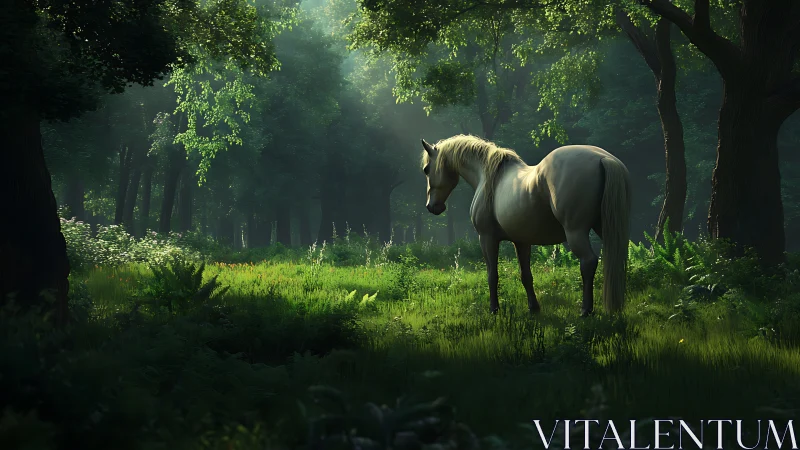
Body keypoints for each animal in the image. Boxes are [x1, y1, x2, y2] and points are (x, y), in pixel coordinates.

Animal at [420, 135, 631, 316]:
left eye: (426, 169)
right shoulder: (522, 241)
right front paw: (534, 307)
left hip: (576, 232)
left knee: (588, 262)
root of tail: (603, 158)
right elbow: (526, 275)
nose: (432, 206)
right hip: (606, 229)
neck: (489, 177)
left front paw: (494, 309)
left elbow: (492, 275)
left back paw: (586, 310)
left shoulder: (487, 238)